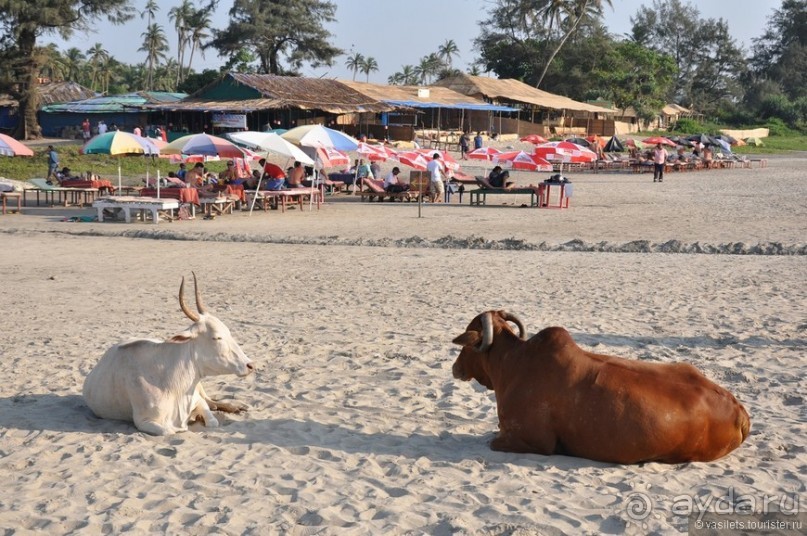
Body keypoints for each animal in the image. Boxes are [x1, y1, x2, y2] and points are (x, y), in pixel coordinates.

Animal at [83, 272, 254, 436]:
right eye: (216, 337)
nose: (250, 365)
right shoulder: (143, 421)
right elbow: (169, 430)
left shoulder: (197, 401)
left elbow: (212, 420)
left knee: (211, 400)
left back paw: (237, 406)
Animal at [454, 310, 752, 464]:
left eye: (468, 343)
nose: (455, 367)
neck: (514, 363)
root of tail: (739, 410)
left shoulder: (535, 441)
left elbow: (494, 442)